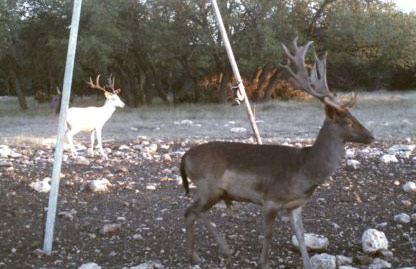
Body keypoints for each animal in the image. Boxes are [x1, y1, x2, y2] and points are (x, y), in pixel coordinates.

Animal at [180, 38, 376, 268]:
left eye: (355, 116)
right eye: (347, 121)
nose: (371, 136)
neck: (305, 171)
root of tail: (184, 158)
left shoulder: (296, 205)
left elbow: (301, 236)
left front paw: (308, 263)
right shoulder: (270, 199)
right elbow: (268, 235)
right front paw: (262, 262)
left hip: (211, 191)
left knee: (191, 213)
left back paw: (196, 254)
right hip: (209, 187)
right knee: (191, 211)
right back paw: (219, 249)